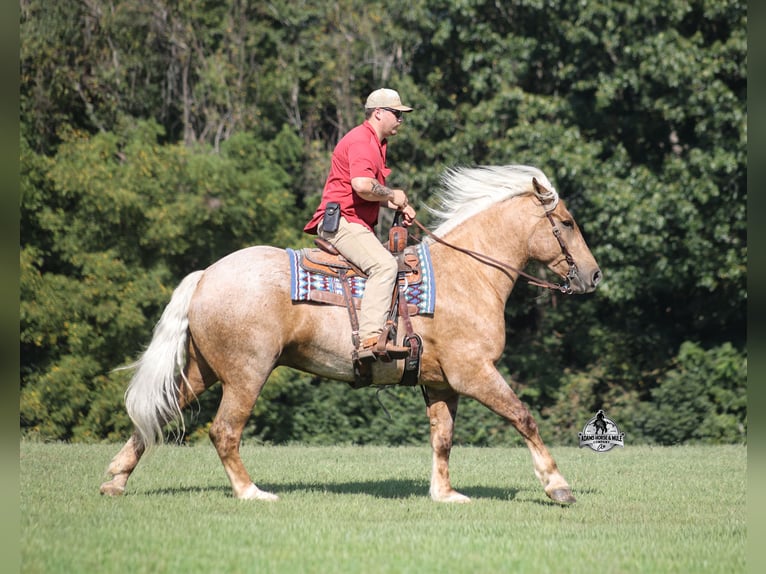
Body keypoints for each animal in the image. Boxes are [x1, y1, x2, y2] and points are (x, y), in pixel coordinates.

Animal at [100, 164, 602, 504]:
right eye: (568, 222)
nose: (594, 276)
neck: (467, 274)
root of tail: (206, 274)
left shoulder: (441, 383)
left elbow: (442, 438)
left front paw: (445, 494)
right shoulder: (473, 372)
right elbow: (523, 417)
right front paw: (558, 486)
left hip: (202, 371)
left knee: (158, 413)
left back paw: (115, 479)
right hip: (246, 374)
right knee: (224, 431)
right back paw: (251, 492)